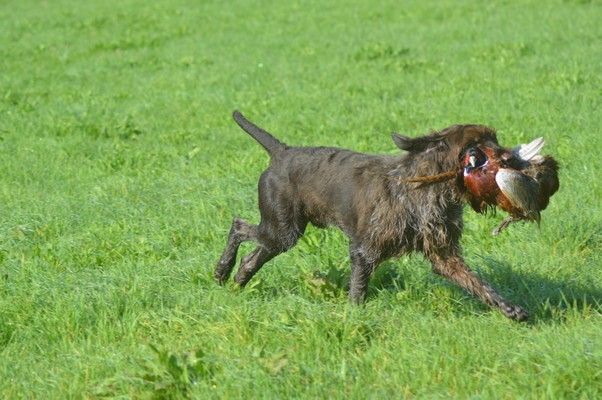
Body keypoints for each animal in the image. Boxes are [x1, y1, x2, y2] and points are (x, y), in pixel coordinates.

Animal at [216, 111, 528, 322]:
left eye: (495, 139)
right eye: (478, 145)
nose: (514, 160)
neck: (428, 187)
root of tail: (282, 152)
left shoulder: (444, 255)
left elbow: (479, 284)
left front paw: (510, 309)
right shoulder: (364, 249)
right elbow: (358, 289)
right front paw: (354, 317)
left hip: (281, 234)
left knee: (251, 256)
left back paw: (237, 280)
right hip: (282, 230)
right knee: (238, 227)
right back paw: (221, 270)